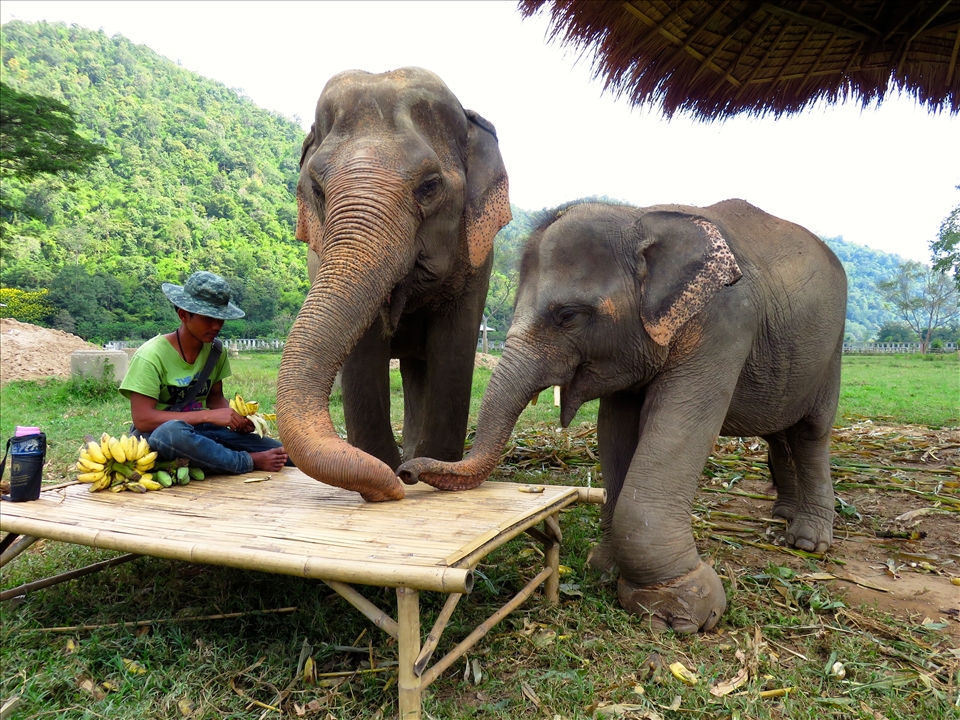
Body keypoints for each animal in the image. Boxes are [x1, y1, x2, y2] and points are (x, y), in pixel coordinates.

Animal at [277, 67, 511, 502]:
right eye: (317, 189)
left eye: (430, 185)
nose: (403, 478)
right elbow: (363, 354)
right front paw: (387, 470)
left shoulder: (478, 259)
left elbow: (453, 348)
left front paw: (422, 469)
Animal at [397, 199, 847, 633]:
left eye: (568, 316)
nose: (405, 471)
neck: (640, 218)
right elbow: (615, 431)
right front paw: (605, 569)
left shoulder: (722, 327)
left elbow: (676, 429)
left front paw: (683, 614)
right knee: (780, 434)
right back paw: (782, 515)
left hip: (831, 351)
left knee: (811, 433)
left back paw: (807, 542)